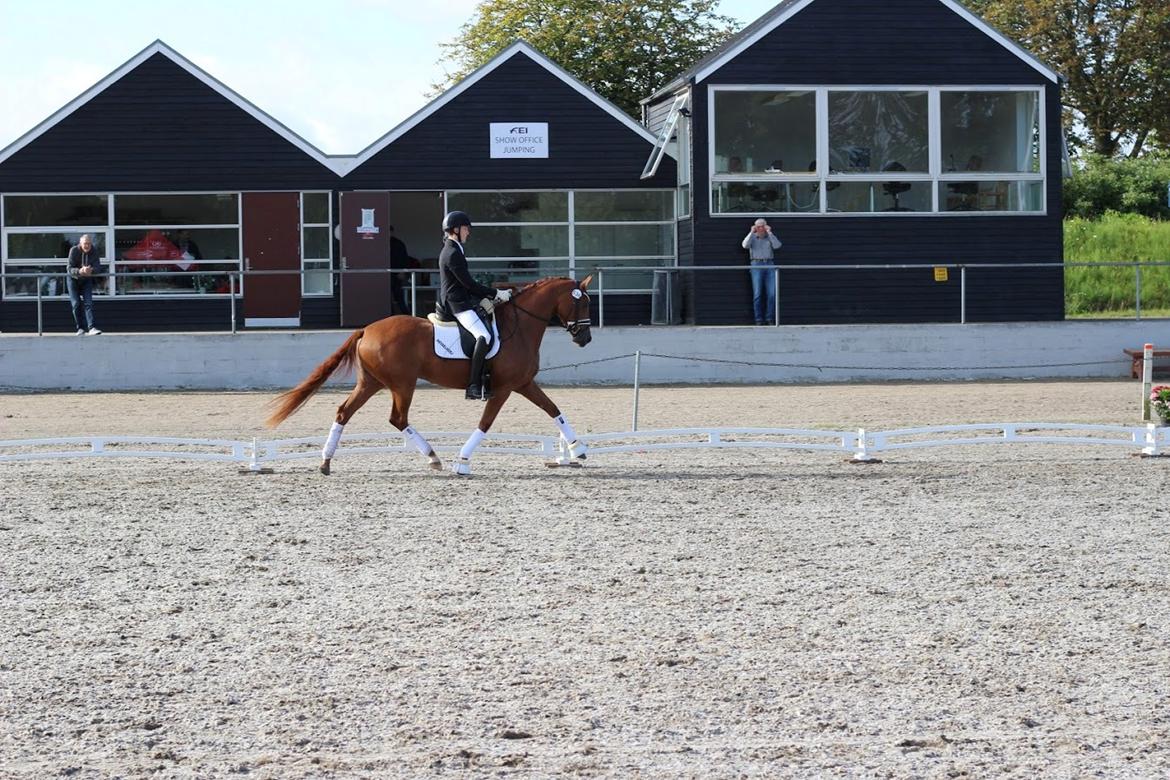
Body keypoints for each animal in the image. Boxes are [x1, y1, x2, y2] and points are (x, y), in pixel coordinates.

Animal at [266, 277, 594, 479]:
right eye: (581, 302)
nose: (585, 338)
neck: (521, 326)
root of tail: (367, 329)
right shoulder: (503, 388)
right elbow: (485, 423)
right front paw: (462, 462)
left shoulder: (523, 383)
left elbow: (553, 410)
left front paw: (578, 449)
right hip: (402, 385)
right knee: (397, 418)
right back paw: (433, 457)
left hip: (372, 383)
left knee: (344, 412)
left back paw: (325, 461)